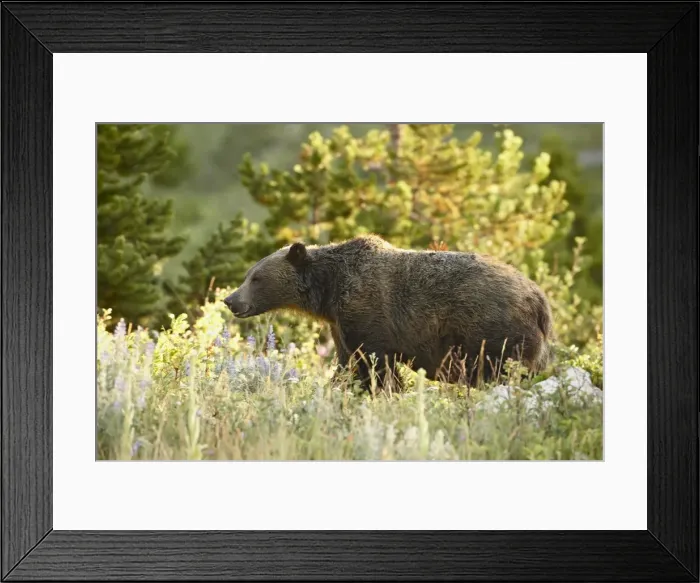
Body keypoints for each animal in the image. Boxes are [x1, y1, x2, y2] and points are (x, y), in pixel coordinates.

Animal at [223, 234, 555, 393]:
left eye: (256, 278)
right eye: (249, 274)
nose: (230, 300)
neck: (329, 291)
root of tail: (540, 299)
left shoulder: (368, 314)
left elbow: (375, 365)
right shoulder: (341, 324)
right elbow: (347, 364)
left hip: (494, 329)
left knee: (505, 369)